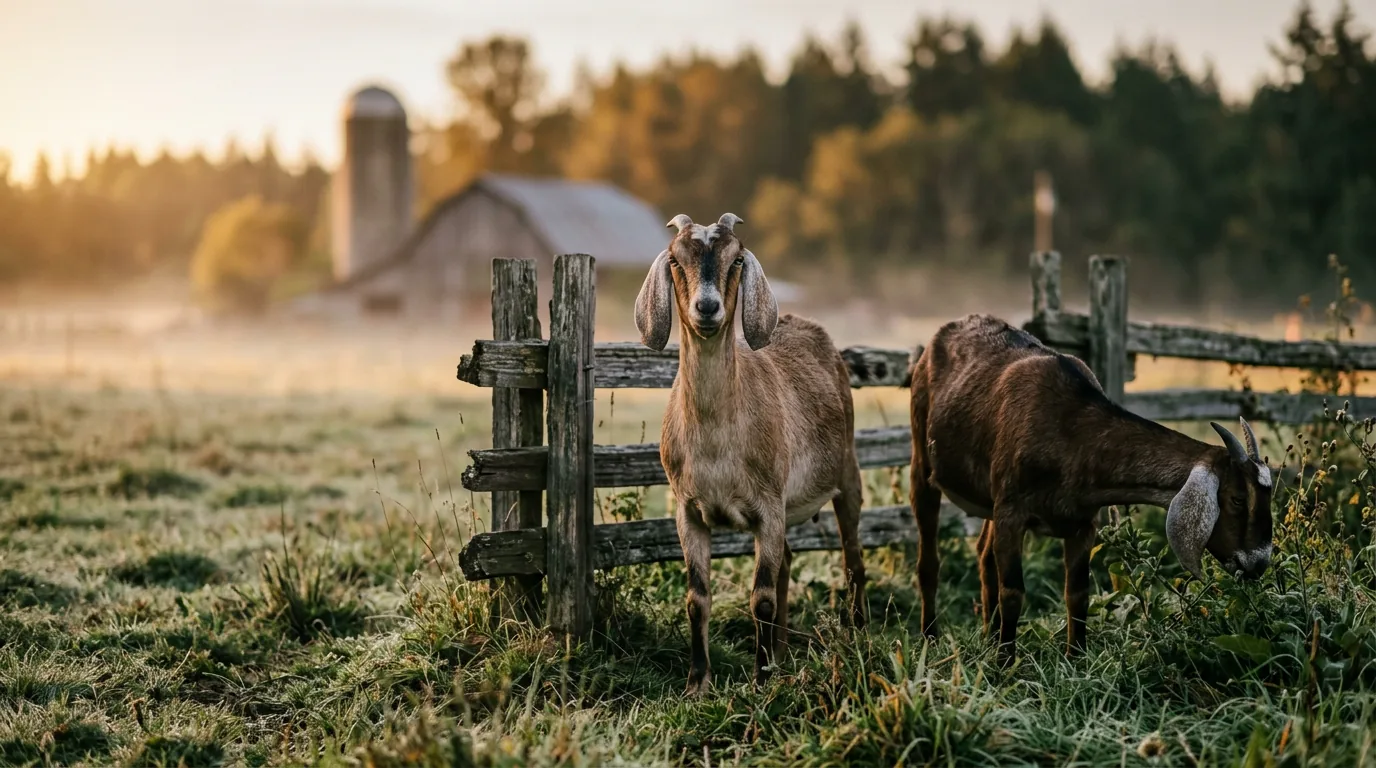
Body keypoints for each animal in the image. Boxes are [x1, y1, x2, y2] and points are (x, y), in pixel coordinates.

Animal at [635, 212, 867, 694]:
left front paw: (760, 683)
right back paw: (780, 652)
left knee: (853, 561)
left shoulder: (768, 506)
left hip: (847, 476)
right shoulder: (688, 511)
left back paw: (856, 634)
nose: (707, 308)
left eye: (737, 258)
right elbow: (697, 598)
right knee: (787, 565)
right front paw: (697, 683)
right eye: (675, 259)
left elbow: (759, 597)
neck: (717, 441)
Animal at [908, 314, 1274, 660]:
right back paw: (930, 637)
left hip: (988, 498)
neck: (1070, 430)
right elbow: (1012, 592)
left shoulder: (1083, 521)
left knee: (984, 557)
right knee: (929, 561)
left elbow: (1078, 593)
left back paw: (987, 636)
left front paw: (1076, 658)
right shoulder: (1012, 510)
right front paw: (1005, 666)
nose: (1258, 563)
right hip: (922, 460)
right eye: (1237, 499)